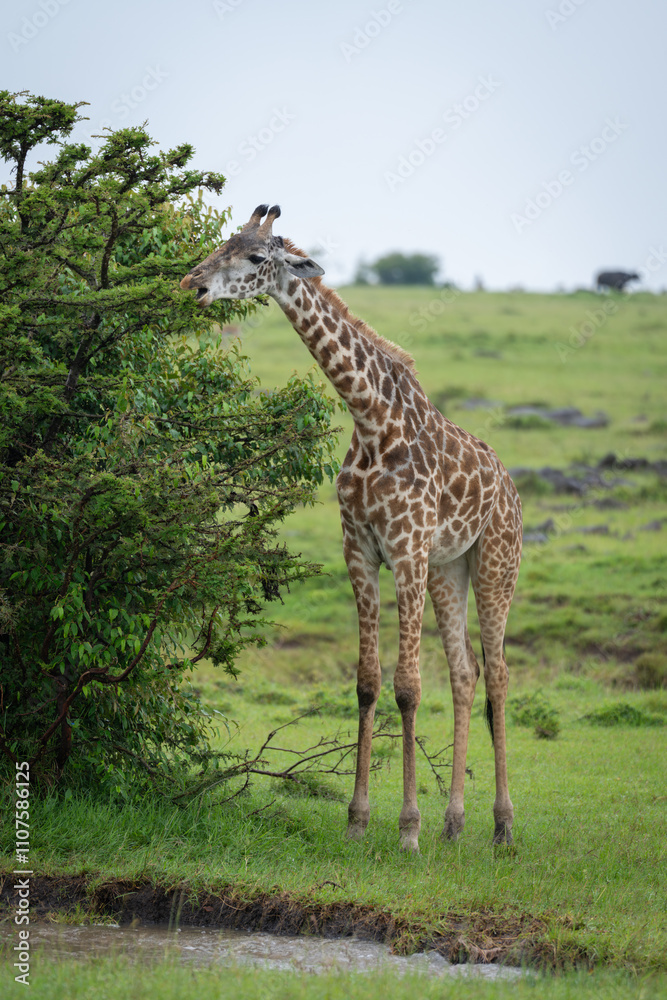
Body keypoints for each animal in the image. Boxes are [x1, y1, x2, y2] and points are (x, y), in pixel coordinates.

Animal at [180, 204, 522, 852]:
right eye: (221, 244)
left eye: (256, 257)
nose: (193, 286)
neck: (371, 421)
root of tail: (513, 489)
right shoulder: (359, 551)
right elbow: (367, 682)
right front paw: (358, 821)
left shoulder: (406, 550)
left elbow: (408, 686)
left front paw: (407, 829)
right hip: (449, 568)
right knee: (465, 674)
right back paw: (454, 823)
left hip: (495, 565)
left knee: (497, 677)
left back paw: (501, 826)